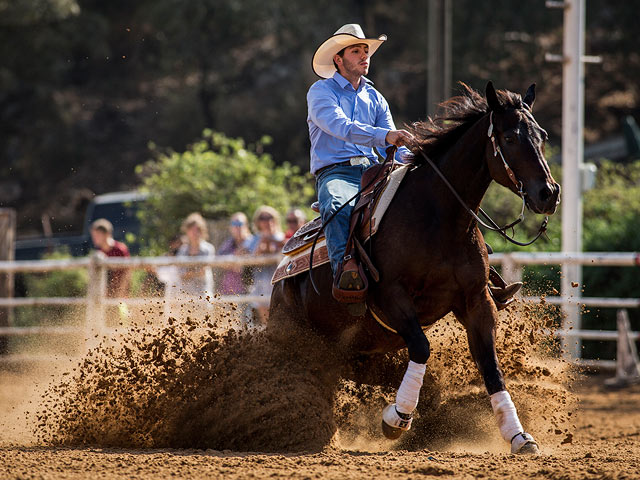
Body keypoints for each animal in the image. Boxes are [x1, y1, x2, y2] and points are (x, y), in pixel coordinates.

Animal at [270, 82, 560, 454]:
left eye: (542, 135)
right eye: (509, 137)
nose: (548, 193)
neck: (437, 216)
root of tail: (281, 273)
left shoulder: (476, 301)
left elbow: (490, 364)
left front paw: (518, 435)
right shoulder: (392, 297)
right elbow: (422, 348)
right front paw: (397, 417)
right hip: (296, 336)